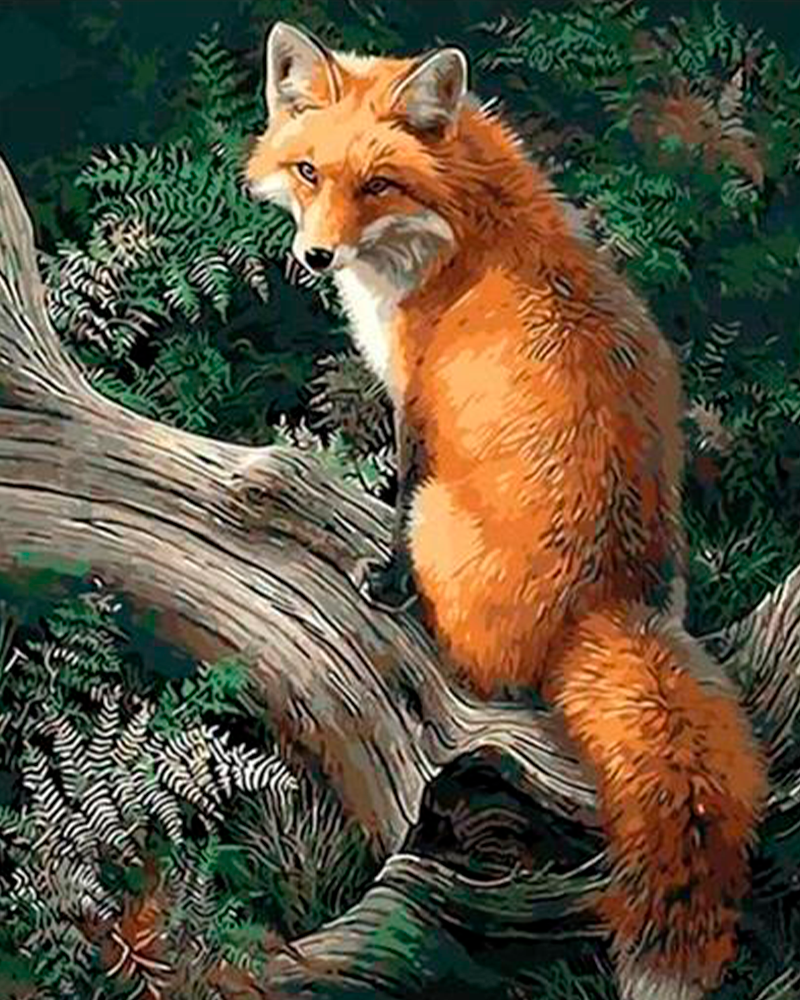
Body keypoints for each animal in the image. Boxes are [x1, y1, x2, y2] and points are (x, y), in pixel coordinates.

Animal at [245, 21, 768, 1000]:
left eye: (377, 184)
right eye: (309, 173)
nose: (315, 258)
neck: (465, 227)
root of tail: (608, 606)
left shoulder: (416, 402)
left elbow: (398, 493)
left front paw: (384, 579)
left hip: (445, 520)